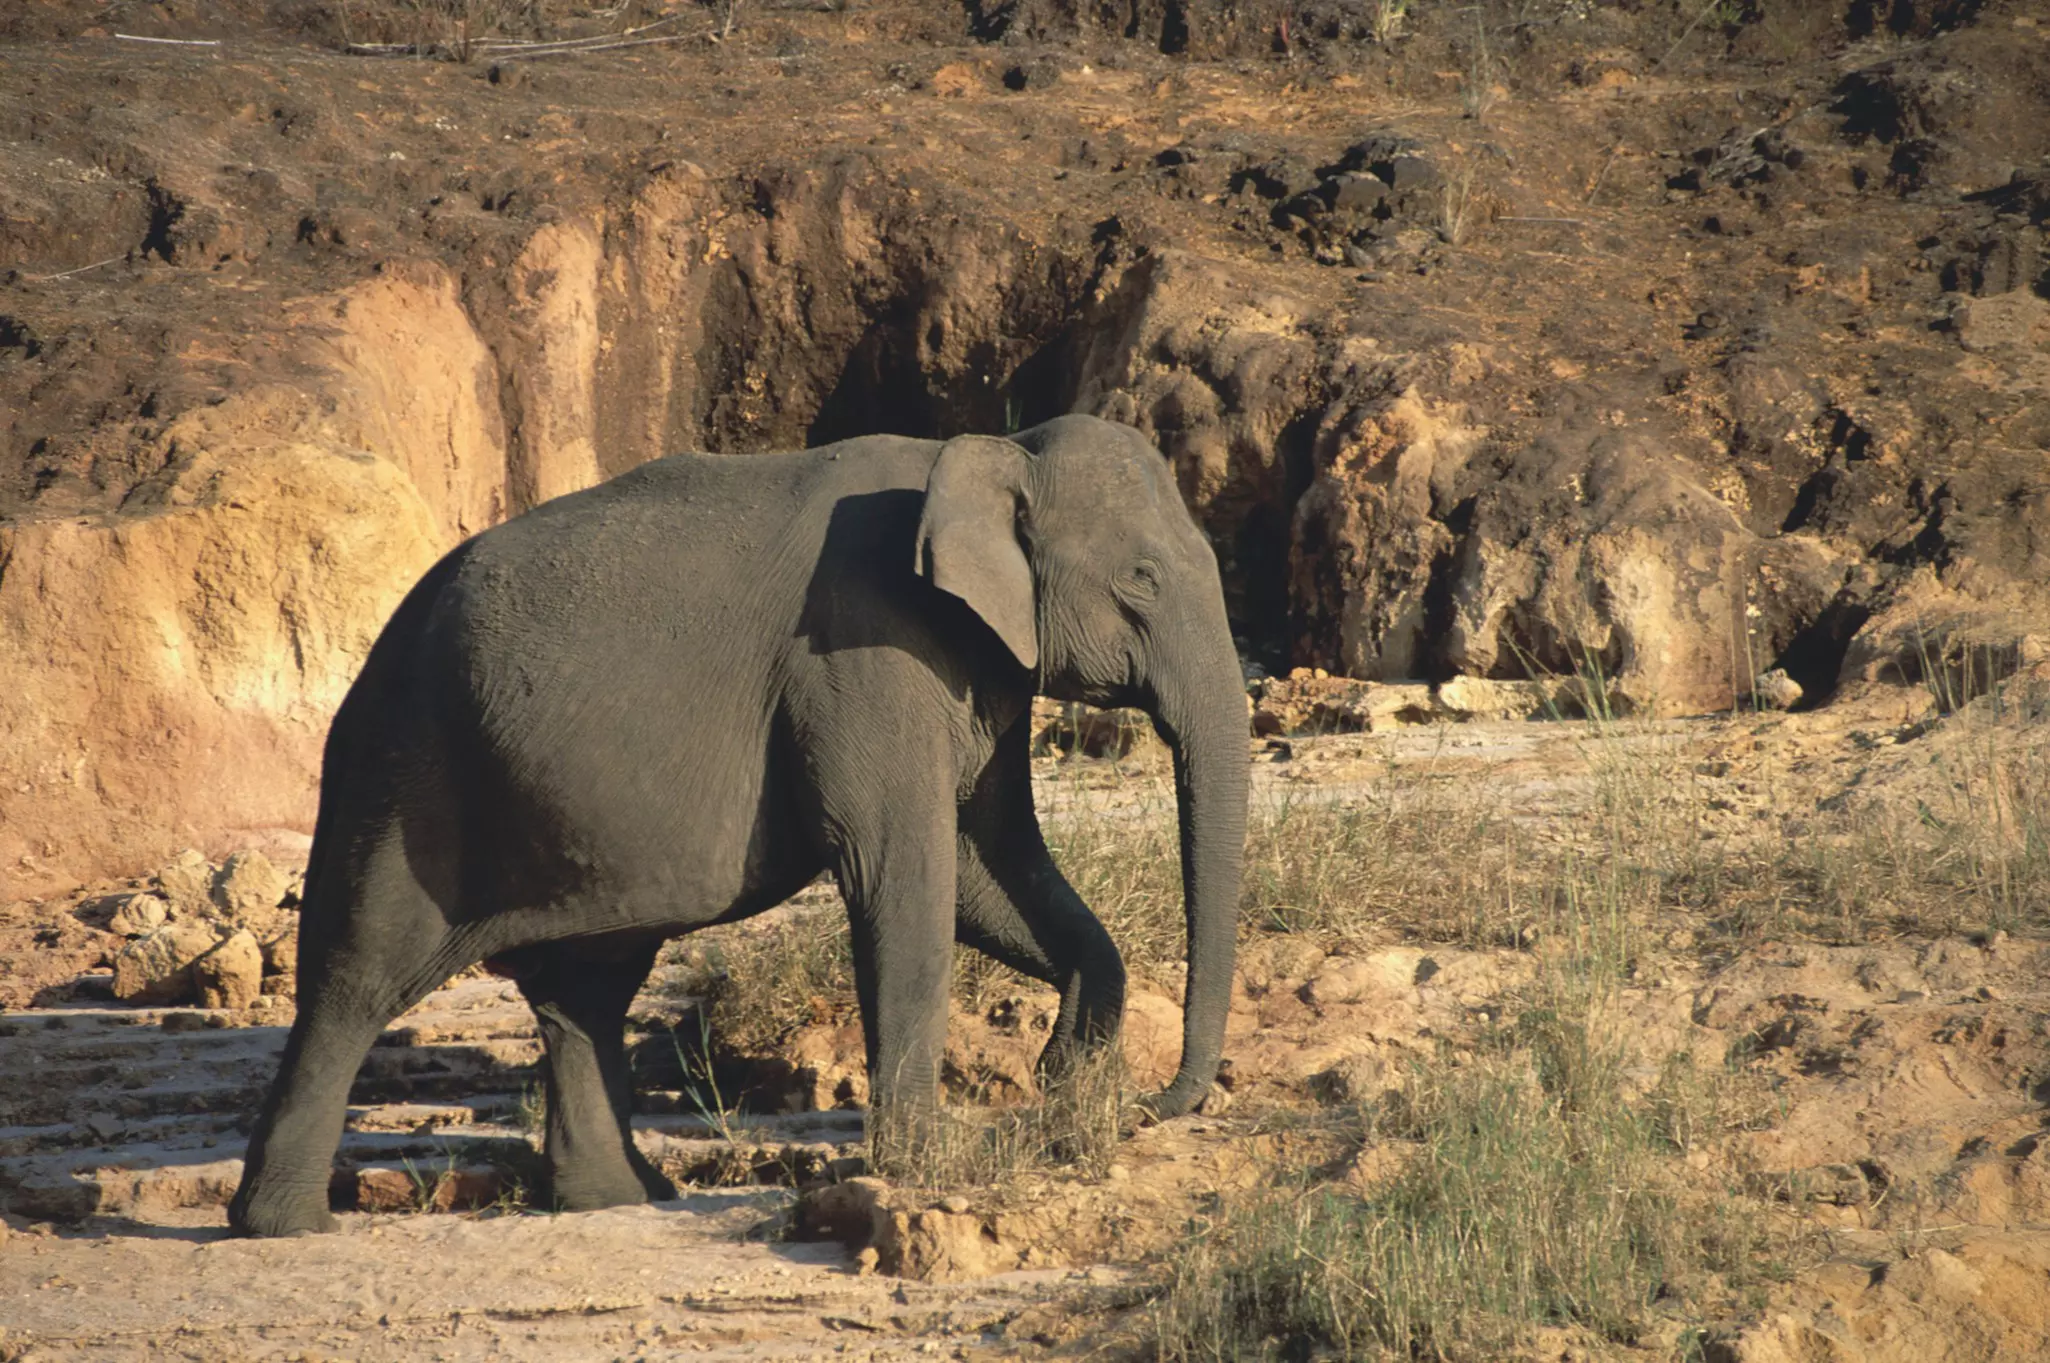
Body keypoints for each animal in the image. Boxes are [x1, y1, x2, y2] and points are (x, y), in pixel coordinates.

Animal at [227, 414, 1249, 1238]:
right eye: (1143, 580)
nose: (1146, 1106)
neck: (994, 448)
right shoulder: (864, 651)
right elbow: (906, 873)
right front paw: (927, 1165)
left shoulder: (977, 670)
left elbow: (991, 865)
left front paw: (1066, 1070)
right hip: (406, 765)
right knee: (358, 976)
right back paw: (286, 1225)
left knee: (586, 990)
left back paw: (621, 1198)